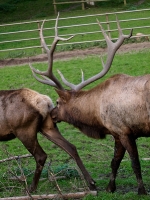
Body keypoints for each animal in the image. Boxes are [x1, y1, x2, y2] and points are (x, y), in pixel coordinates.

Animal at [30, 13, 149, 195]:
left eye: (57, 102)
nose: (51, 114)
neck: (97, 118)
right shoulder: (117, 133)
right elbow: (114, 162)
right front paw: (110, 187)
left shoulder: (124, 131)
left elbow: (135, 163)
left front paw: (141, 191)